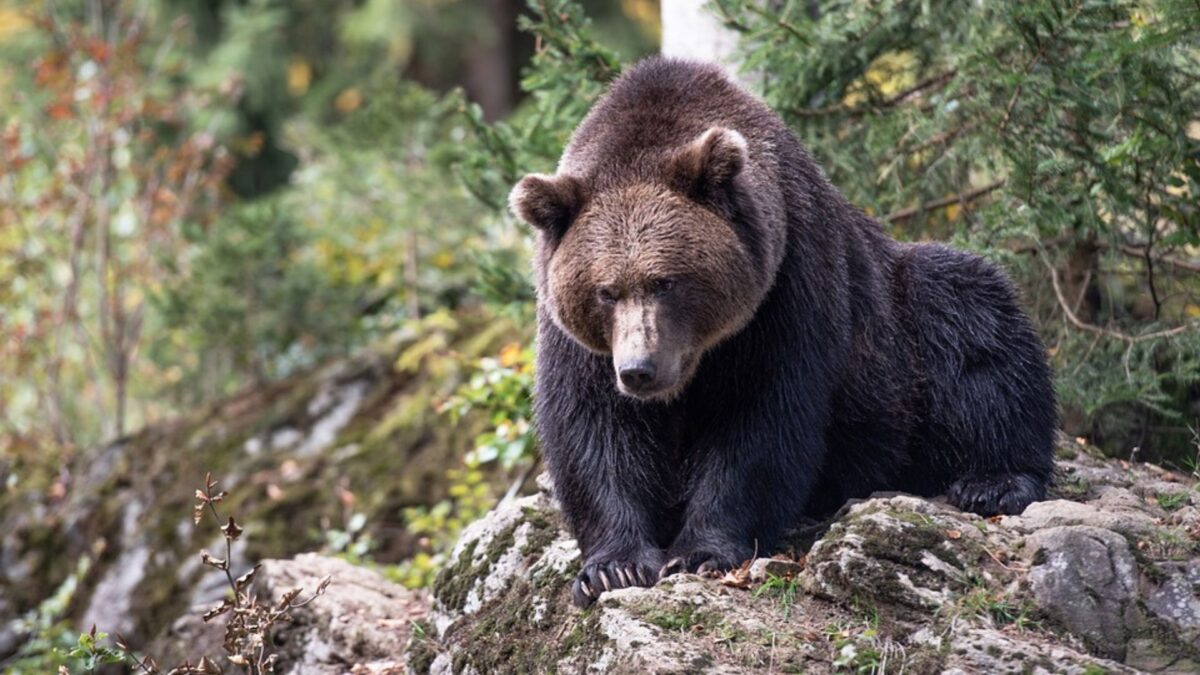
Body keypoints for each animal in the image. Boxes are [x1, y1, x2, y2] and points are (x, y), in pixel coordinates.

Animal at [509, 57, 1057, 608]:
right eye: (606, 291)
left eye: (665, 281)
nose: (640, 370)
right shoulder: (577, 340)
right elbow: (594, 429)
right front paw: (612, 567)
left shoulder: (786, 286)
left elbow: (760, 421)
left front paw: (702, 552)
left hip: (901, 333)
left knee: (970, 318)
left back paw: (993, 480)